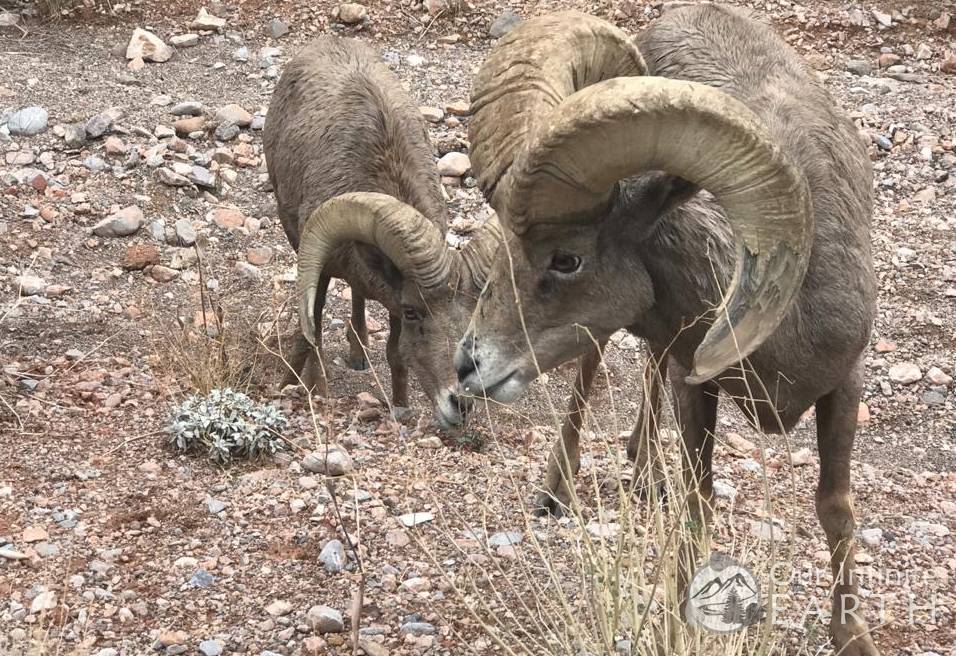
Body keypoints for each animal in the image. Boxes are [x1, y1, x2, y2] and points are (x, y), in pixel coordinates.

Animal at [262, 36, 500, 418]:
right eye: (414, 311)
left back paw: (358, 352)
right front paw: (302, 387)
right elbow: (311, 335)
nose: (460, 402)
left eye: (472, 316)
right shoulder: (320, 270)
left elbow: (396, 356)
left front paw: (400, 405)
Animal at [458, 7, 880, 652]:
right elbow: (696, 507)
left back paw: (640, 465)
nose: (469, 364)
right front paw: (682, 622)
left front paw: (851, 632)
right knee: (599, 367)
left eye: (566, 259)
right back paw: (559, 488)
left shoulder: (844, 383)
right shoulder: (695, 384)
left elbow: (835, 507)